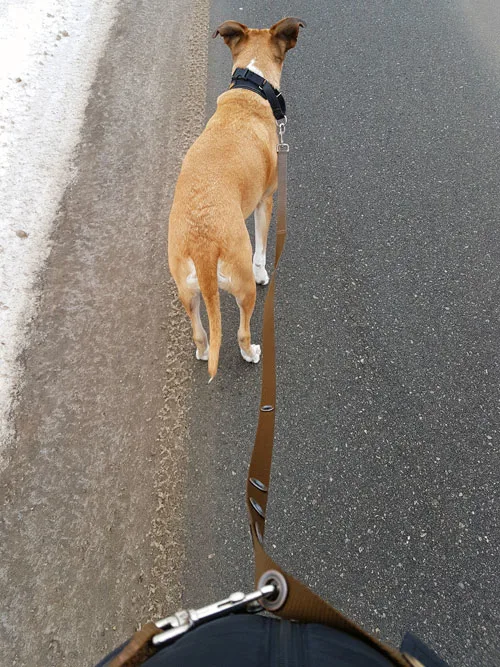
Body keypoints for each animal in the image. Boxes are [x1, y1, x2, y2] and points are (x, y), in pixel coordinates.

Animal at [168, 15, 302, 378]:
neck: (250, 89)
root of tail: (202, 244)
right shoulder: (265, 201)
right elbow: (261, 248)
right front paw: (263, 272)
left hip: (187, 291)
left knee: (200, 334)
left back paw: (202, 352)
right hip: (241, 287)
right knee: (242, 329)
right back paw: (251, 352)